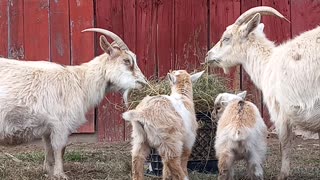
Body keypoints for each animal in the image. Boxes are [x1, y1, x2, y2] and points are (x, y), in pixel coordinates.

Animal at [0, 27, 147, 179]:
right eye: (127, 60)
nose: (144, 82)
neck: (80, 82)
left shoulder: (48, 127)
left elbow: (48, 148)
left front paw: (49, 171)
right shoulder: (60, 124)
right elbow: (59, 148)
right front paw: (60, 174)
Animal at [206, 5, 320, 179]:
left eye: (226, 38)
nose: (208, 56)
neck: (268, 64)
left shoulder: (279, 109)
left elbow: (285, 143)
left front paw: (283, 175)